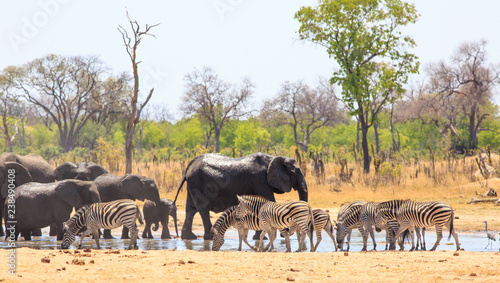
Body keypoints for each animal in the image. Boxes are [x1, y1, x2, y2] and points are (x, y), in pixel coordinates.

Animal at [174, 154, 310, 241]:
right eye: (297, 172)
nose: (287, 233)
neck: (273, 158)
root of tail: (189, 166)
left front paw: (260, 238)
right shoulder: (260, 180)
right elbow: (268, 202)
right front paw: (269, 236)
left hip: (192, 185)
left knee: (190, 209)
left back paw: (189, 238)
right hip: (197, 182)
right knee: (202, 209)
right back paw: (210, 238)